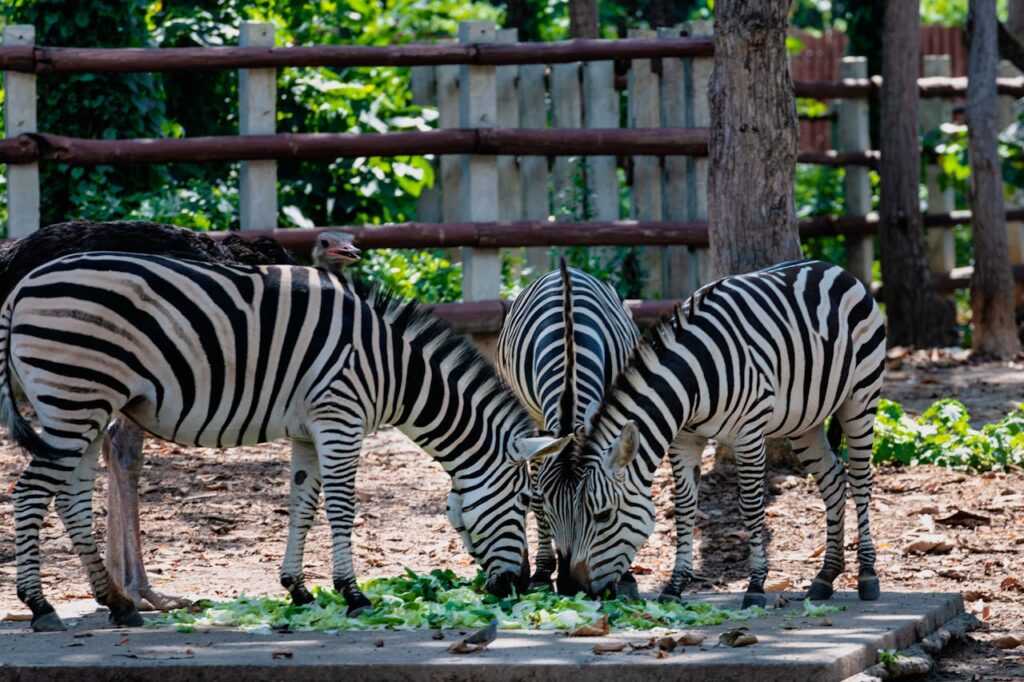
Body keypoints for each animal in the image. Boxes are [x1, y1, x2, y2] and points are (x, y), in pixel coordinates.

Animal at [2, 252, 569, 632]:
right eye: (524, 500)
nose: (518, 585)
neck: (393, 370)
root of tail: (22, 284)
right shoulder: (340, 419)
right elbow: (339, 508)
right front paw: (354, 595)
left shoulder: (308, 431)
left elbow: (302, 505)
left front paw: (298, 590)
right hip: (76, 398)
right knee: (29, 494)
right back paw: (41, 607)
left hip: (80, 407)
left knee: (70, 500)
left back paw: (117, 603)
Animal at [495, 260, 640, 595]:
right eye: (550, 508)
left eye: (589, 508)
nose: (569, 585)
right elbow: (535, 493)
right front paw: (541, 572)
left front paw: (624, 573)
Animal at [551, 260, 886, 608]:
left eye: (603, 516)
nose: (572, 587)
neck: (691, 380)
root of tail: (831, 267)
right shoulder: (684, 440)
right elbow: (684, 508)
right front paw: (675, 585)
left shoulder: (749, 433)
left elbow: (751, 507)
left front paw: (756, 585)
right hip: (805, 422)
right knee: (833, 480)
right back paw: (826, 575)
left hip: (860, 398)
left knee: (861, 480)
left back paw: (866, 574)